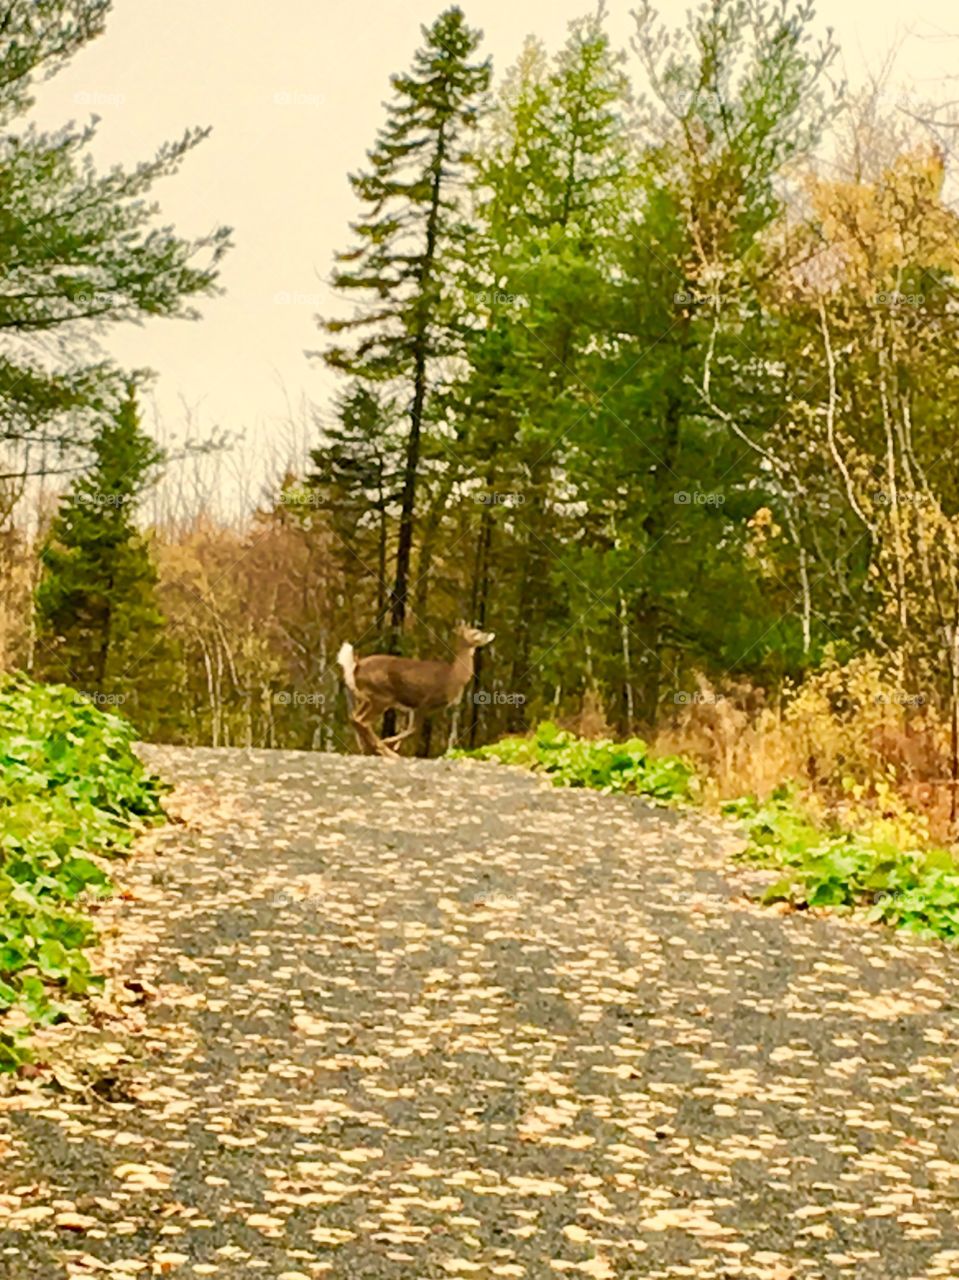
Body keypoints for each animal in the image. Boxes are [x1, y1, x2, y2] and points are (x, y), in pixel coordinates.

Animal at [335, 622, 494, 752]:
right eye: (475, 633)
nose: (490, 634)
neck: (454, 676)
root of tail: (355, 666)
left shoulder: (414, 706)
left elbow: (410, 729)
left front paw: (392, 743)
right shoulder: (424, 701)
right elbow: (414, 729)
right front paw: (389, 742)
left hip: (368, 698)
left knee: (354, 717)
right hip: (381, 695)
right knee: (361, 720)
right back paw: (383, 750)